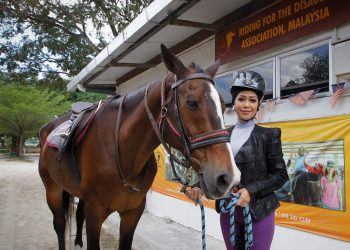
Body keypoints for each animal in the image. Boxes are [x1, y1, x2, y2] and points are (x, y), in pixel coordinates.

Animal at [38, 45, 241, 250]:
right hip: (53, 189)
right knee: (60, 225)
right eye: (191, 102)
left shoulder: (132, 213)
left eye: (224, 106)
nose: (229, 177)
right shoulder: (94, 212)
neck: (123, 154)